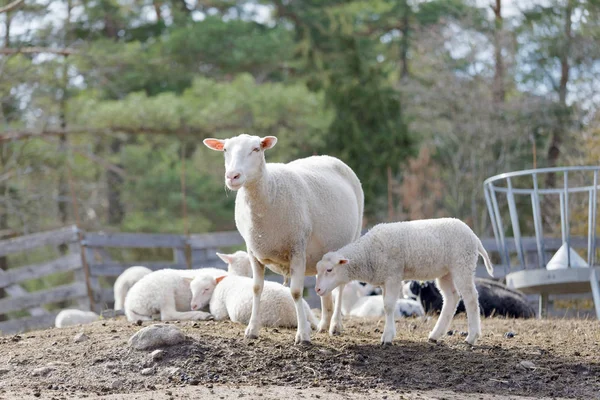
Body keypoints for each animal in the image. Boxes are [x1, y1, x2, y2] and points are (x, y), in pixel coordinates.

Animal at [204, 134, 364, 344]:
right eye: (225, 150)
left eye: (256, 149)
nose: (232, 176)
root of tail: (328, 157)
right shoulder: (253, 251)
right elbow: (256, 288)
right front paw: (252, 330)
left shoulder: (297, 248)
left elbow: (296, 292)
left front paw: (303, 335)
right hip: (323, 254)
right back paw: (323, 324)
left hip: (350, 241)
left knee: (341, 286)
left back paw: (335, 325)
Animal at [314, 217, 492, 346]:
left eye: (329, 270)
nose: (317, 290)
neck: (368, 253)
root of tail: (474, 237)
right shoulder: (385, 279)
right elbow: (386, 305)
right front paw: (389, 333)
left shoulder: (393, 275)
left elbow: (388, 306)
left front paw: (387, 337)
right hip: (446, 272)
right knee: (451, 298)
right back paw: (435, 335)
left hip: (462, 264)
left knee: (470, 298)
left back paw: (471, 337)